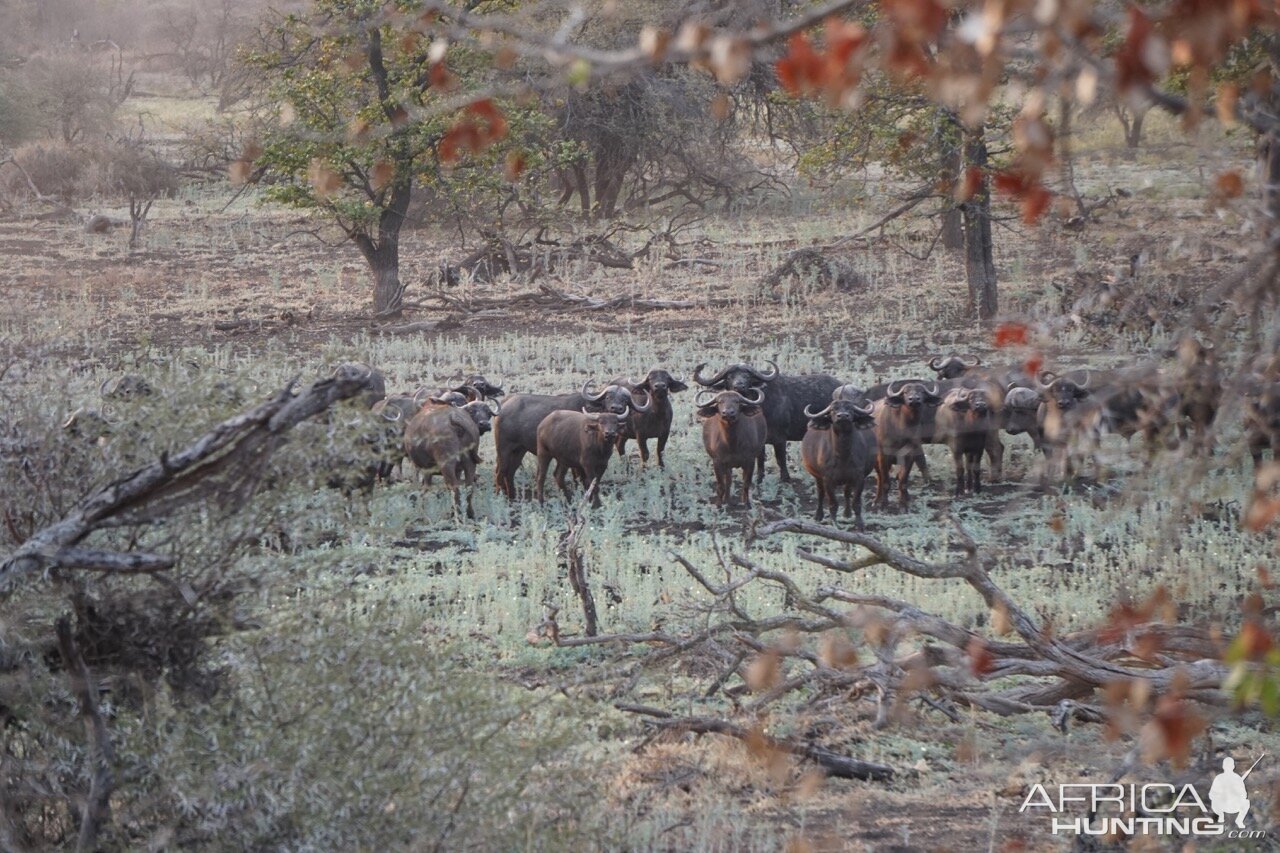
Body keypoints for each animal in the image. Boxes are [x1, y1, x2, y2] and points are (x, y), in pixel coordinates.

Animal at [491, 379, 650, 499]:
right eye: (608, 397)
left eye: (625, 399)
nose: (616, 408)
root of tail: (505, 403)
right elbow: (579, 476)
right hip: (504, 448)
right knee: (500, 472)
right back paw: (501, 497)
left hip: (519, 450)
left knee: (509, 472)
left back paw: (512, 496)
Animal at [696, 356, 844, 481]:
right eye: (729, 376)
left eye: (747, 375)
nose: (739, 386)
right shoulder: (760, 441)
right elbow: (760, 459)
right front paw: (759, 478)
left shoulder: (780, 439)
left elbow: (781, 459)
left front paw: (785, 478)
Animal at [803, 394, 875, 525]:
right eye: (833, 410)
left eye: (851, 409)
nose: (843, 416)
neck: (843, 456)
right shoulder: (828, 479)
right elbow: (833, 504)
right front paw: (833, 523)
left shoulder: (859, 477)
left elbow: (856, 502)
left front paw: (859, 523)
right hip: (817, 477)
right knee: (820, 494)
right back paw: (818, 515)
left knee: (846, 492)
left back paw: (847, 513)